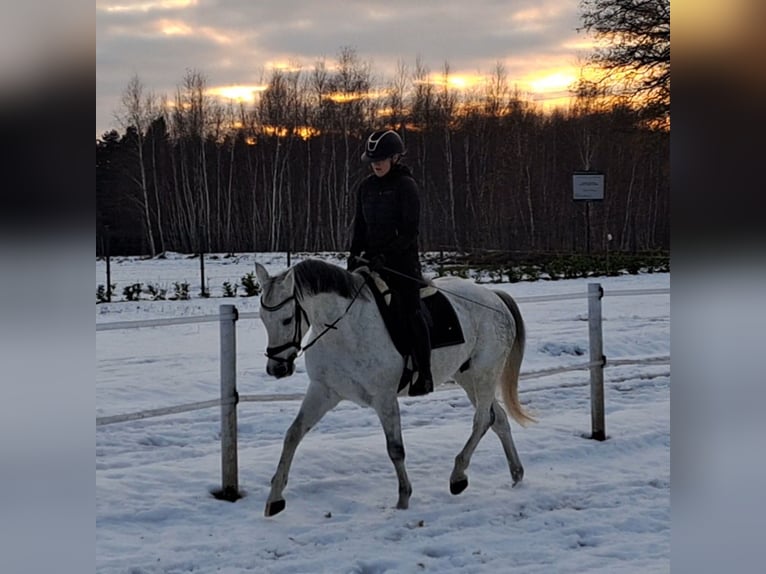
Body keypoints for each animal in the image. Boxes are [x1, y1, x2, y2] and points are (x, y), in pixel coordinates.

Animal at [254, 258, 535, 517]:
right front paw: (275, 498)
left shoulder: (384, 399)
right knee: (497, 419)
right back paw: (516, 474)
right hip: (467, 378)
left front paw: (403, 499)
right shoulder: (323, 391)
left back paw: (458, 476)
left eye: (287, 319)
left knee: (481, 420)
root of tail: (494, 298)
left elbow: (395, 449)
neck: (344, 330)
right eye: (262, 318)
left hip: (485, 374)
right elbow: (293, 434)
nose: (277, 369)